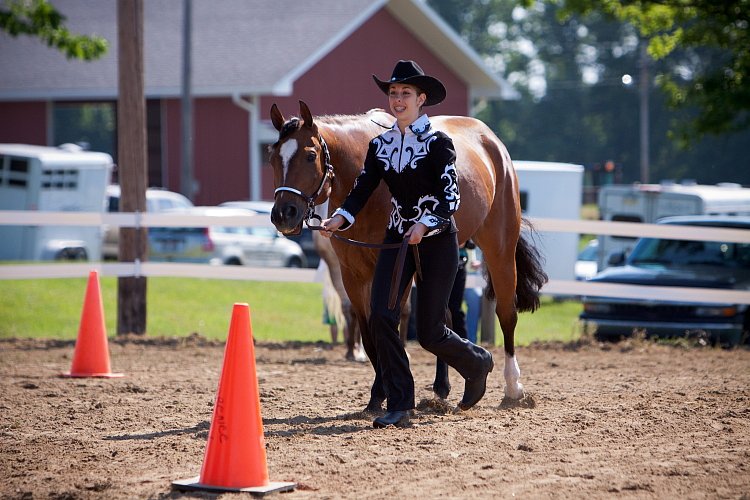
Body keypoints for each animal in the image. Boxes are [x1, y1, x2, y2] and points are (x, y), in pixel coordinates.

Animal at [270, 98, 548, 410]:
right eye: (272, 157)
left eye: (309, 156)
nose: (283, 215)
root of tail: (491, 140)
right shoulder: (353, 274)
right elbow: (369, 332)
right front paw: (377, 395)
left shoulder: (393, 271)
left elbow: (389, 325)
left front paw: (389, 392)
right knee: (443, 318)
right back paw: (442, 387)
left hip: (499, 247)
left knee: (506, 313)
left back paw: (513, 388)